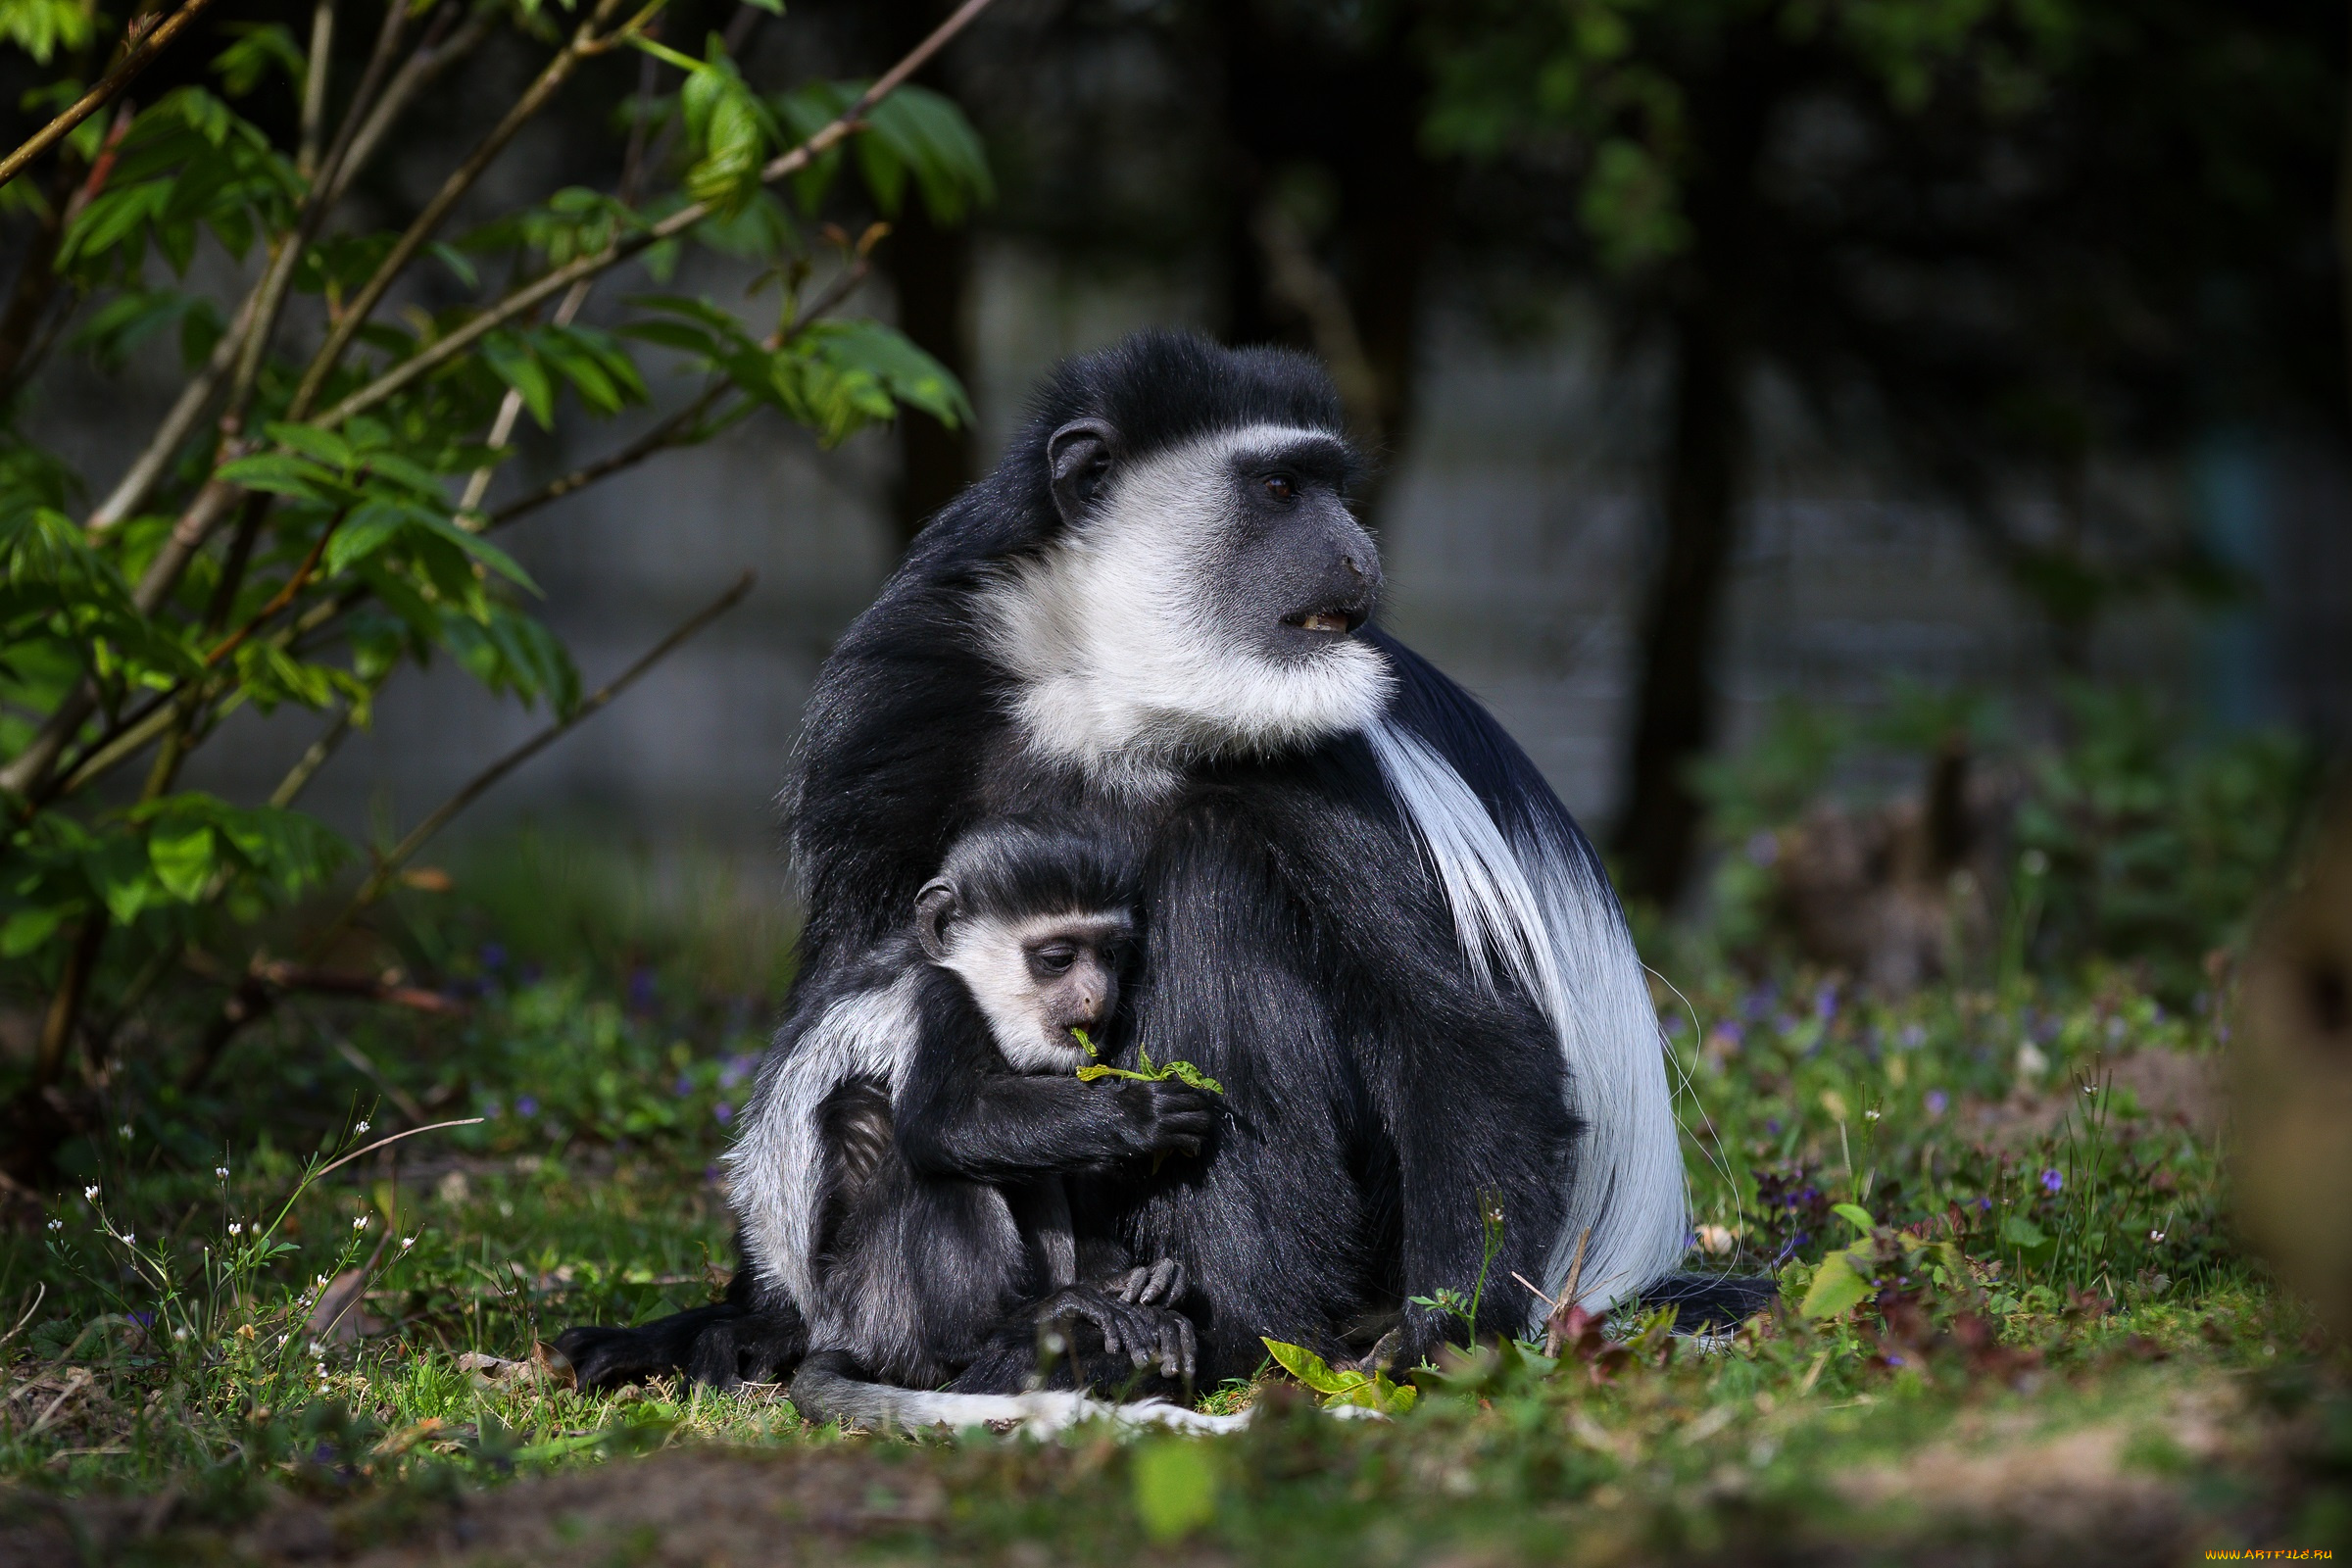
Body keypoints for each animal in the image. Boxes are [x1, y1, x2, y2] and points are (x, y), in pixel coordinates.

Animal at [795, 822, 1232, 1439]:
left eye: (1111, 953)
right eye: (1059, 958)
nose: (1099, 995)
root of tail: (835, 1330)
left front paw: (1144, 1286)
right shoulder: (939, 1002)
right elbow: (941, 1123)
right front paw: (1140, 1112)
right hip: (879, 1305)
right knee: (937, 1168)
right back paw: (1019, 1324)